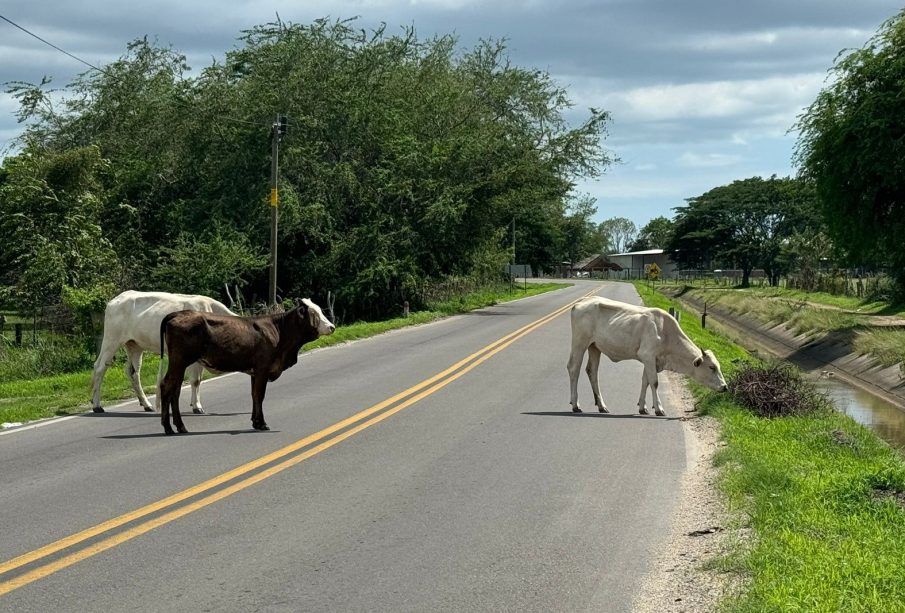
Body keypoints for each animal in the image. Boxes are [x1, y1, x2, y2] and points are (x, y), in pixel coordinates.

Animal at [89, 290, 233, 414]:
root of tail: (117, 299)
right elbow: (196, 380)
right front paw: (197, 407)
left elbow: (198, 380)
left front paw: (194, 404)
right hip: (111, 339)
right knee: (100, 367)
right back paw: (97, 406)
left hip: (134, 345)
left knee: (133, 372)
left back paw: (147, 404)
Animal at [159, 298, 336, 432]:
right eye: (314, 314)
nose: (332, 327)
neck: (279, 332)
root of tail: (178, 313)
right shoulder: (263, 368)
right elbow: (259, 395)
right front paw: (262, 423)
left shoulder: (254, 372)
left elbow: (253, 395)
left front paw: (255, 422)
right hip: (179, 361)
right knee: (168, 387)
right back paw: (171, 427)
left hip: (179, 363)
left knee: (173, 389)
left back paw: (176, 427)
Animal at [564, 296, 728, 416]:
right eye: (711, 367)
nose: (725, 387)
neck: (666, 334)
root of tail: (582, 301)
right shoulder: (648, 355)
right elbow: (654, 382)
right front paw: (659, 408)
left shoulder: (651, 360)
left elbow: (645, 381)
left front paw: (643, 407)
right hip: (579, 343)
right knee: (573, 368)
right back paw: (575, 404)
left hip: (594, 347)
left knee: (592, 372)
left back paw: (602, 406)